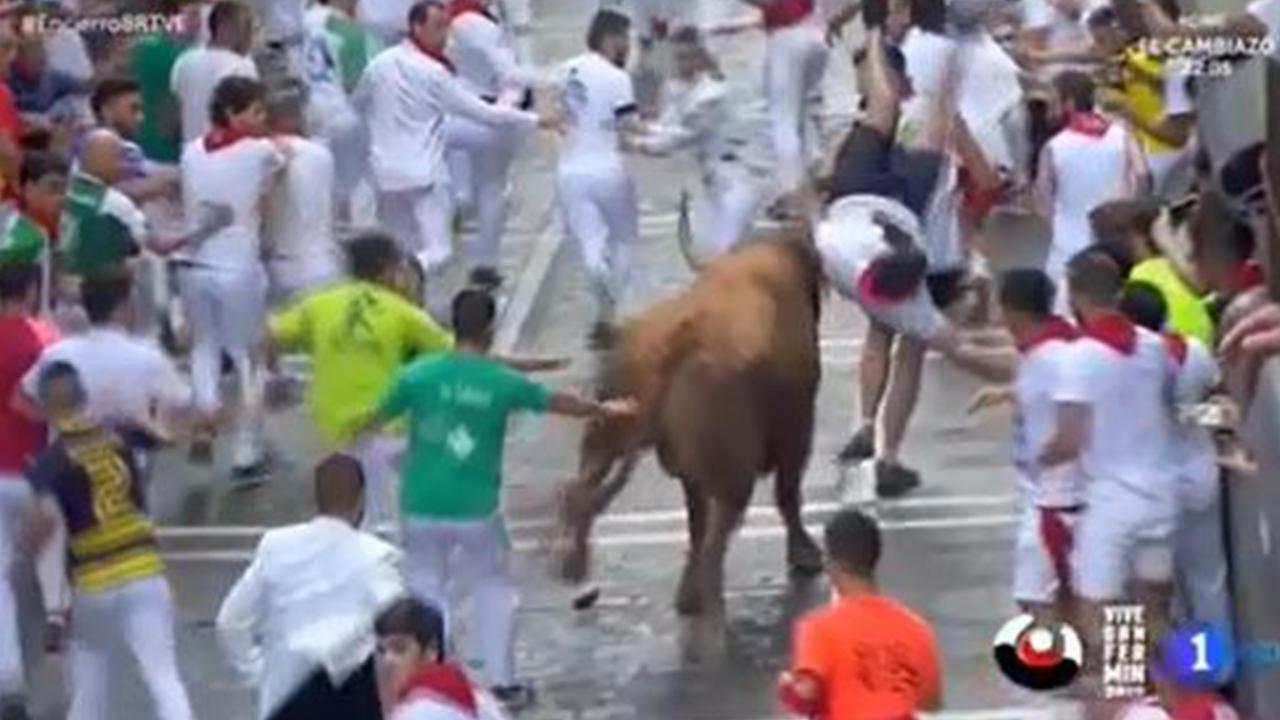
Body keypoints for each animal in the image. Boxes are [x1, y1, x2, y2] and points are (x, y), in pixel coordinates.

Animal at [560, 228, 829, 617]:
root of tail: (681, 338)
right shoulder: (798, 429)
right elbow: (787, 494)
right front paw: (805, 554)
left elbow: (695, 519)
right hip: (735, 474)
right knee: (716, 546)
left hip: (605, 429)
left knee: (580, 488)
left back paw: (576, 567)